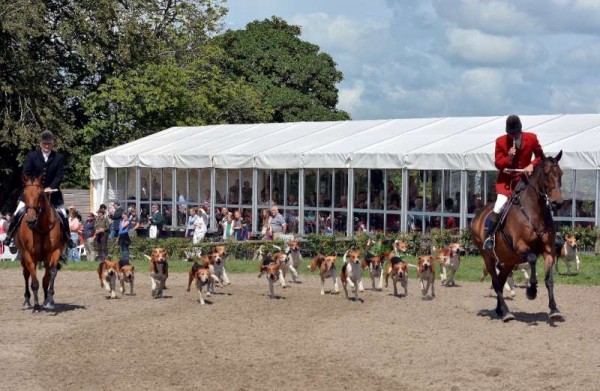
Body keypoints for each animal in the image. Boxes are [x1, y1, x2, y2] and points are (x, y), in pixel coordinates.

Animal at [15, 175, 65, 312]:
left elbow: (51, 273)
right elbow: (34, 282)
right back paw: (27, 301)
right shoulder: (29, 255)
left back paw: (46, 300)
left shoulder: (54, 252)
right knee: (26, 274)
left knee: (45, 278)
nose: (31, 221)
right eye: (24, 194)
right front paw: (36, 306)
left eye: (41, 195)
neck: (41, 227)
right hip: (23, 256)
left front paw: (50, 301)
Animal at [474, 152, 564, 324]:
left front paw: (554, 309)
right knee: (496, 282)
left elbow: (549, 280)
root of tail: (478, 214)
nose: (558, 203)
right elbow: (532, 259)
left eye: (561, 173)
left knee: (501, 280)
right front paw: (532, 291)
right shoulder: (520, 246)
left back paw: (501, 310)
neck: (535, 212)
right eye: (546, 174)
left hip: (509, 260)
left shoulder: (548, 250)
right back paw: (506, 313)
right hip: (488, 257)